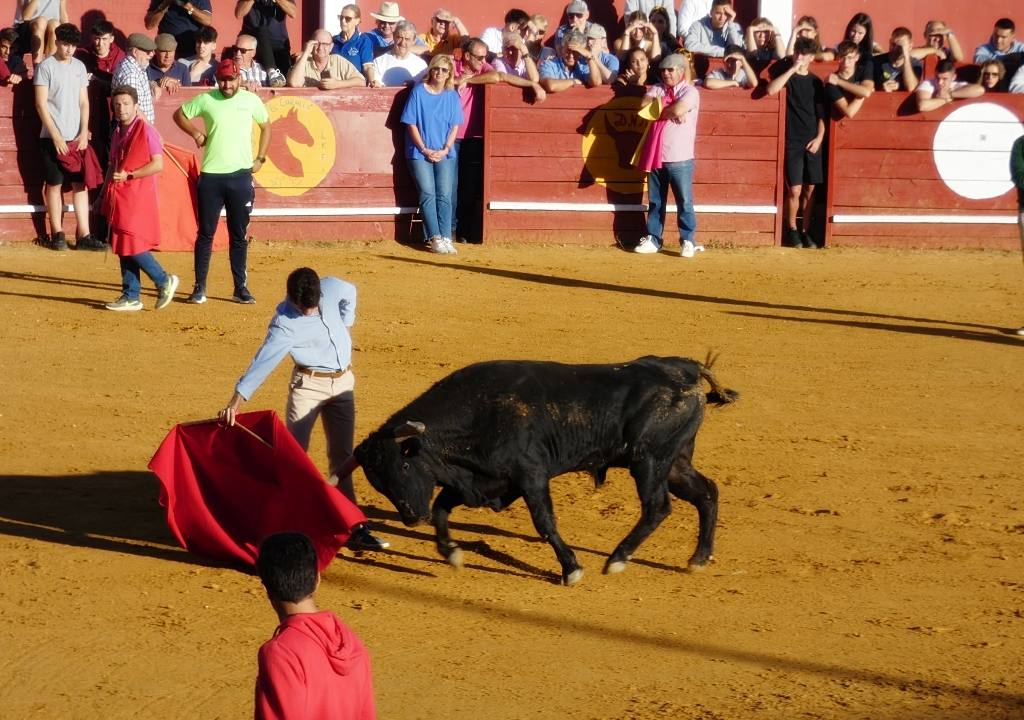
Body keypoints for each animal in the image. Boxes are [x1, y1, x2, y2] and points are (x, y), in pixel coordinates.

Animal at [350, 354, 737, 585]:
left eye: (403, 463)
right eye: (379, 482)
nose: (413, 518)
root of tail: (684, 368)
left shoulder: (531, 476)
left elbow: (544, 522)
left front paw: (571, 569)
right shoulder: (481, 482)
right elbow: (443, 510)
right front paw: (452, 554)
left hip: (650, 460)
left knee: (657, 507)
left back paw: (617, 559)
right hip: (675, 462)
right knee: (707, 492)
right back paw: (699, 558)